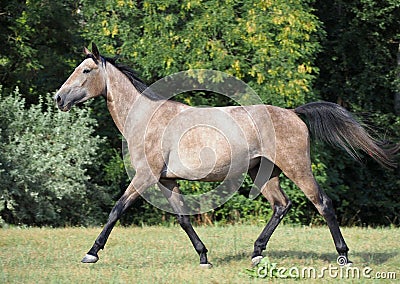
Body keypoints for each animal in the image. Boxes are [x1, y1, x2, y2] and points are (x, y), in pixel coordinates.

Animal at [54, 43, 396, 268]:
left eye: (86, 70)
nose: (58, 98)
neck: (148, 119)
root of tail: (294, 114)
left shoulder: (145, 177)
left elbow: (116, 210)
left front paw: (91, 253)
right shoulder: (168, 181)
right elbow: (183, 218)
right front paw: (204, 257)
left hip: (297, 167)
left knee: (322, 203)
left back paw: (344, 256)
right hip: (265, 172)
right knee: (281, 205)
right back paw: (257, 253)